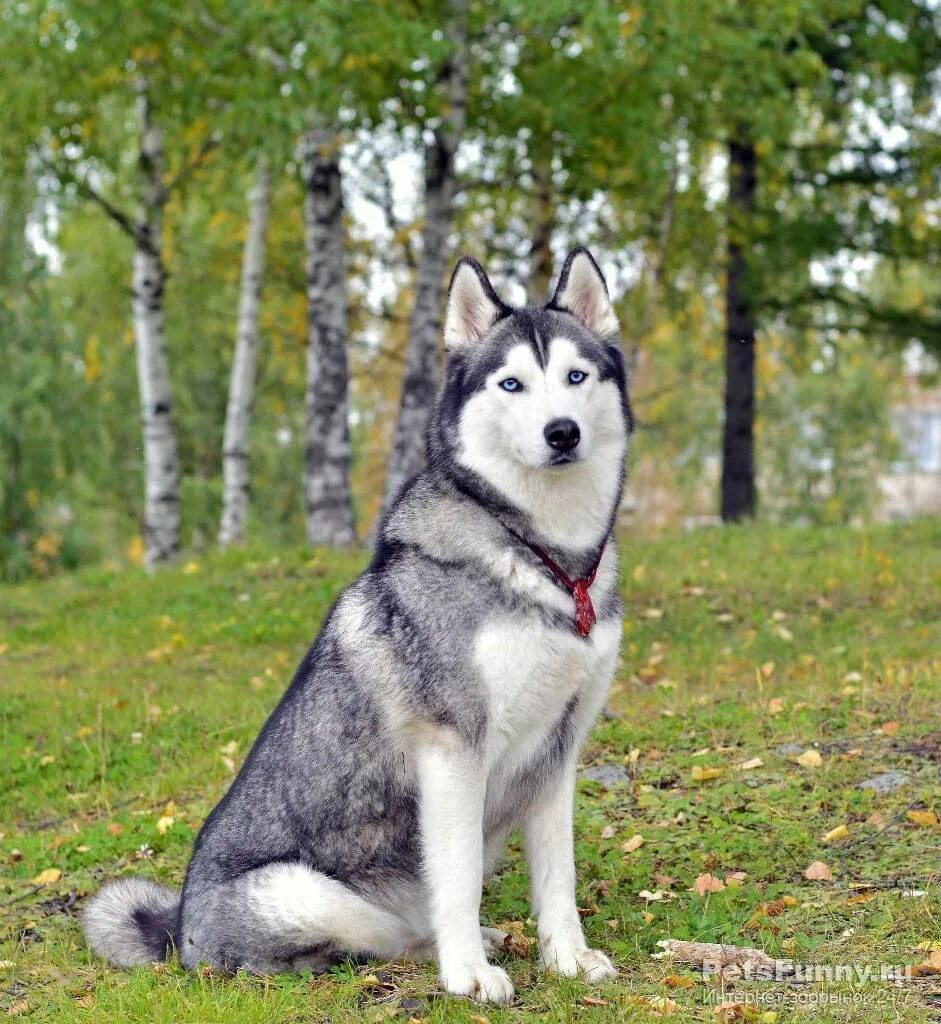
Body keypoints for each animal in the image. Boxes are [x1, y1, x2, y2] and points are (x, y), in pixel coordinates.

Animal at [86, 249, 634, 1007]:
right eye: (512, 383)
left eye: (576, 377)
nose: (561, 432)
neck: (547, 560)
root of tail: (178, 932)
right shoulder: (451, 749)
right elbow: (458, 877)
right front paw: (467, 974)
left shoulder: (559, 752)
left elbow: (559, 877)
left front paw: (568, 958)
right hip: (314, 895)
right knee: (390, 937)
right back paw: (446, 950)